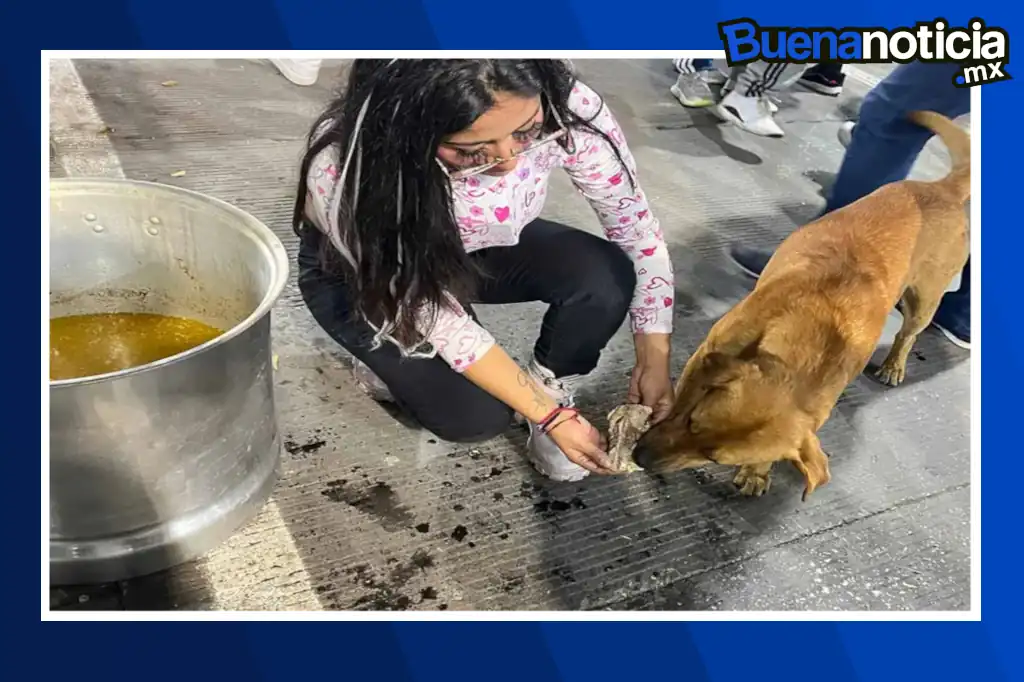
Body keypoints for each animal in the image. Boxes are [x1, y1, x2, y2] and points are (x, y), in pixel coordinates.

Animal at [630, 107, 974, 499]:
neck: (814, 334)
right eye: (691, 420)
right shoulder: (707, 356)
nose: (639, 457)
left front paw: (757, 472)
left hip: (926, 301)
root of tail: (944, 188)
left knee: (908, 334)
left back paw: (894, 364)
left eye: (714, 457)